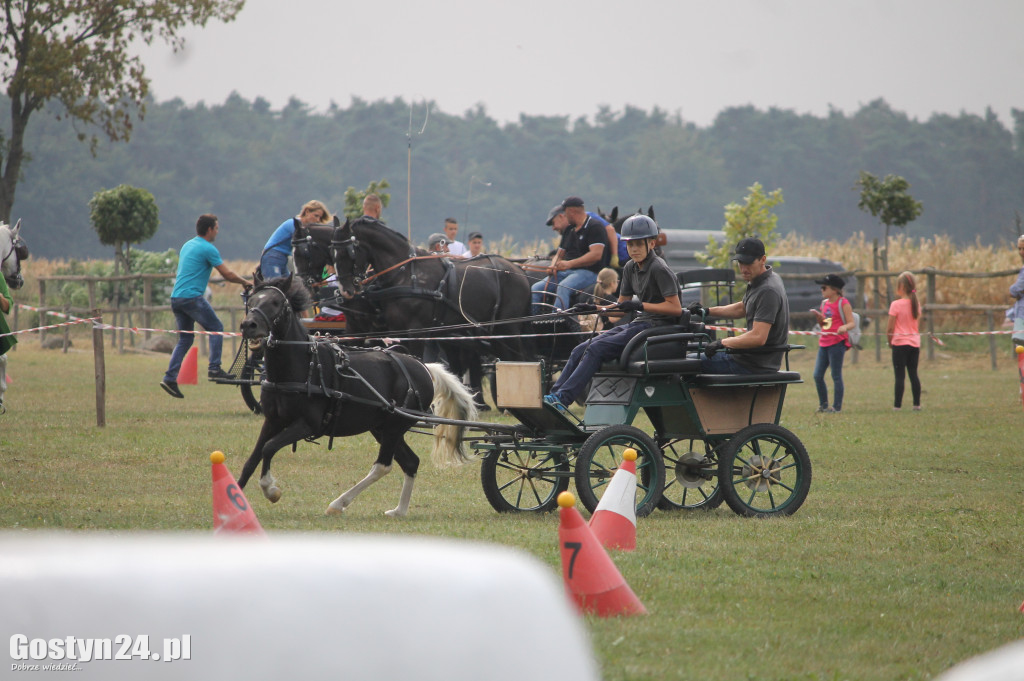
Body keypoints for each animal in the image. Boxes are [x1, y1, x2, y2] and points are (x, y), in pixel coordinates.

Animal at [237, 272, 477, 516]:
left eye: (276, 302)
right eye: (252, 300)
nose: (249, 325)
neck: (302, 366)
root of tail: (424, 367)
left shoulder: (307, 424)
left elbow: (269, 448)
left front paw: (270, 490)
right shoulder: (273, 420)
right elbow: (253, 458)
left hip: (394, 426)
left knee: (383, 466)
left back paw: (339, 503)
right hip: (382, 427)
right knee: (411, 462)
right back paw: (398, 511)